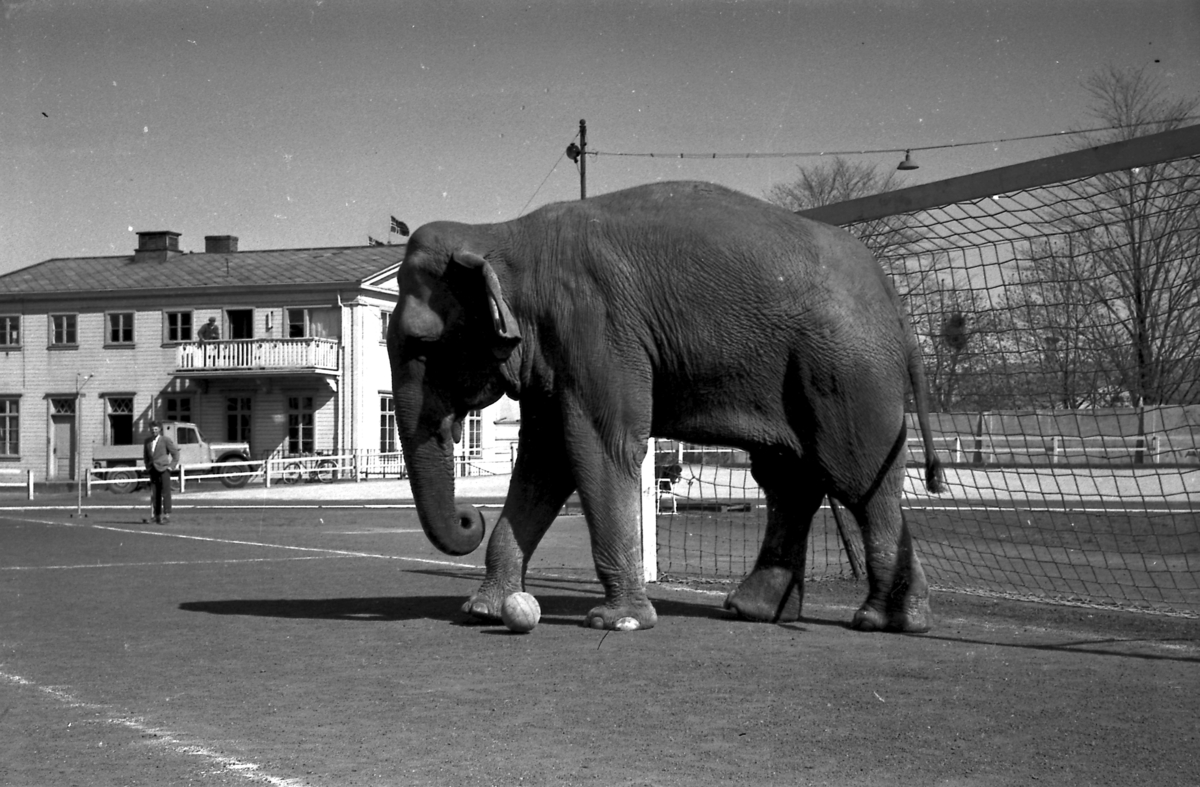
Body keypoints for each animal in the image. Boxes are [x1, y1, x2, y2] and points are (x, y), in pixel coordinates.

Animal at [388, 179, 940, 633]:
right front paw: (483, 610)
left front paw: (618, 622)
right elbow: (545, 462)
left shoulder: (595, 328)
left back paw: (883, 621)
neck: (501, 234)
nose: (469, 518)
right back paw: (756, 610)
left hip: (847, 370)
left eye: (422, 344)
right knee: (789, 479)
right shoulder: (556, 353)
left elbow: (598, 447)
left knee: (856, 477)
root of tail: (892, 294)